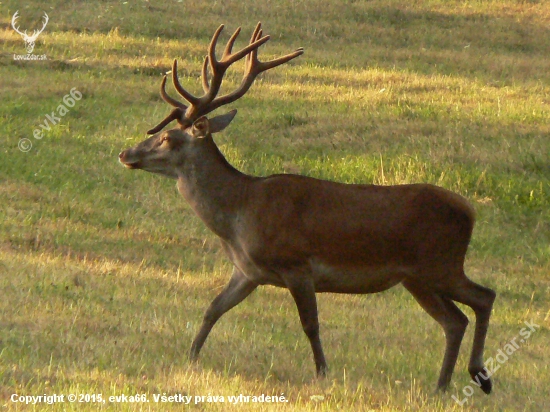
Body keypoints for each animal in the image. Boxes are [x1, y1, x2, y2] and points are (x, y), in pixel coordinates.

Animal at [118, 21, 498, 392]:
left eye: (167, 138)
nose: (125, 153)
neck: (239, 215)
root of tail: (470, 211)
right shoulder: (248, 272)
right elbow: (213, 308)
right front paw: (191, 356)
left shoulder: (297, 264)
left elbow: (310, 323)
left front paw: (323, 372)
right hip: (418, 277)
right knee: (455, 320)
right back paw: (442, 385)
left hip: (439, 264)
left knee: (484, 297)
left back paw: (479, 374)